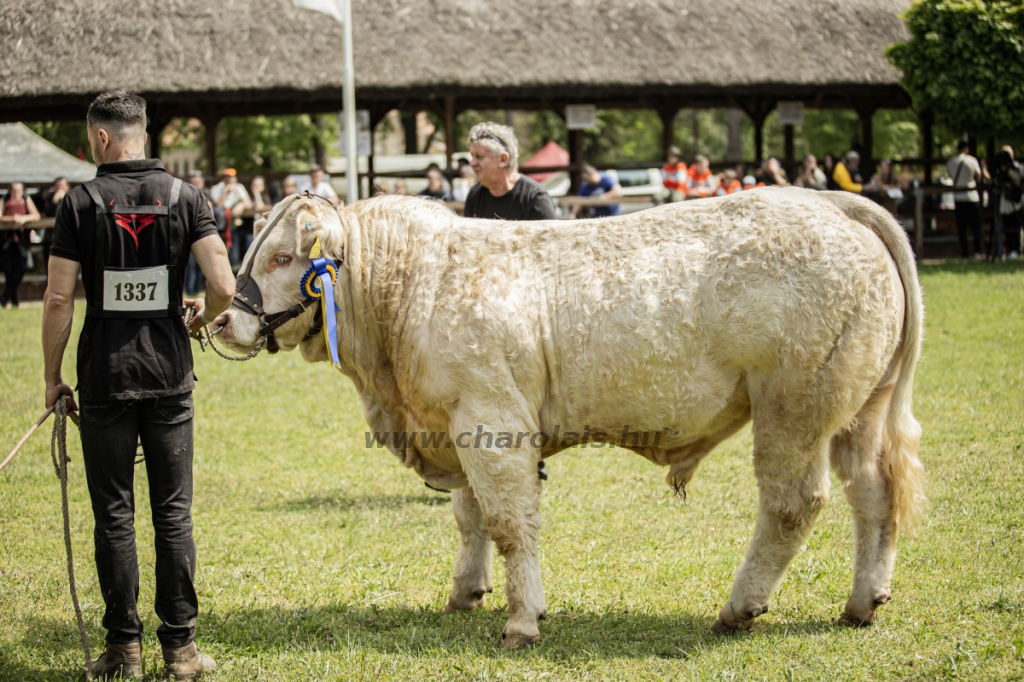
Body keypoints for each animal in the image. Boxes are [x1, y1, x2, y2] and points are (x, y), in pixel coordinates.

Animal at [218, 188, 929, 647]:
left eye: (281, 257)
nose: (223, 319)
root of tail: (835, 204)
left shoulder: (492, 420)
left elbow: (509, 523)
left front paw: (521, 620)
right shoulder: (459, 422)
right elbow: (470, 517)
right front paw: (465, 592)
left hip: (794, 408)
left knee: (792, 503)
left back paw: (739, 607)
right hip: (858, 411)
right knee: (874, 493)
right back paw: (862, 603)